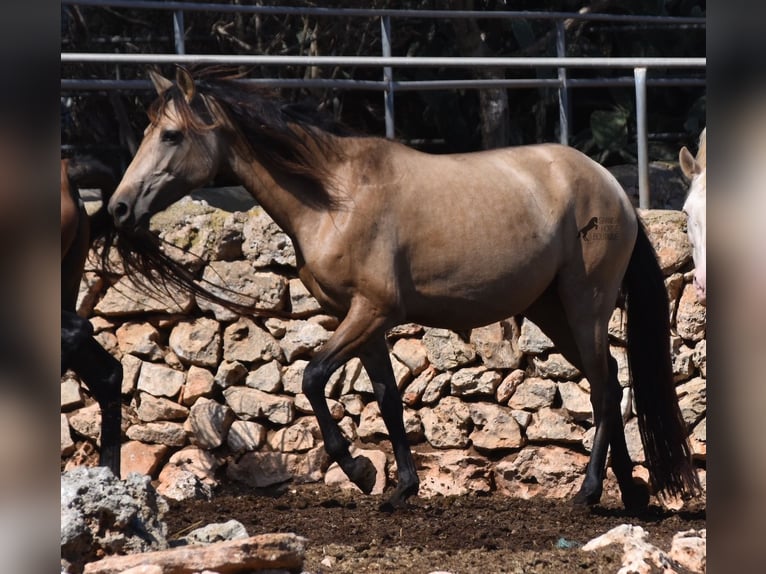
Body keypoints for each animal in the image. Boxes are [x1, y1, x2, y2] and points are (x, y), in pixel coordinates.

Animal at [108, 68, 704, 512]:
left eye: (171, 135)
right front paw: (400, 487)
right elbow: (388, 399)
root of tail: (613, 189)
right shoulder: (363, 323)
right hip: (553, 313)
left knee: (604, 388)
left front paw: (360, 470)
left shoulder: (371, 312)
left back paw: (589, 492)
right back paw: (630, 492)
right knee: (613, 382)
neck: (336, 197)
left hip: (585, 306)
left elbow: (313, 377)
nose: (118, 208)